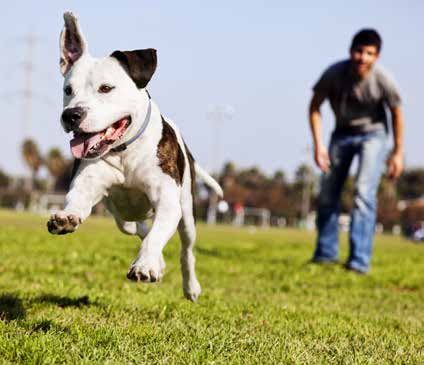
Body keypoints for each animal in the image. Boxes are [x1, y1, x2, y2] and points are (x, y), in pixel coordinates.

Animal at [47, 12, 222, 302]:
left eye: (106, 88)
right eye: (68, 90)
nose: (71, 115)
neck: (124, 151)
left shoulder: (167, 202)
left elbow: (157, 235)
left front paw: (145, 265)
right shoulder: (87, 184)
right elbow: (77, 200)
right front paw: (67, 217)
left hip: (187, 213)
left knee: (185, 250)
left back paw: (190, 286)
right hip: (122, 217)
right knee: (138, 229)